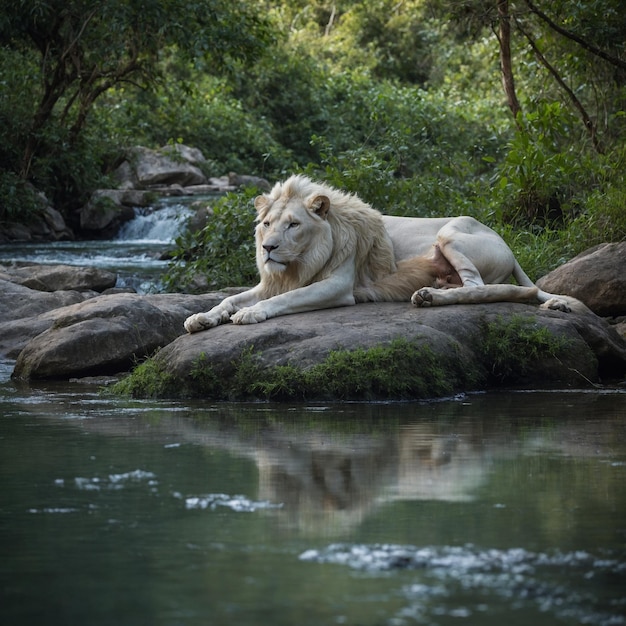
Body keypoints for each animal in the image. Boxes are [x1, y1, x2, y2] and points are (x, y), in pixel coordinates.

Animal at [183, 174, 576, 332]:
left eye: (293, 225)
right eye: (266, 224)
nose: (268, 249)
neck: (299, 263)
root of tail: (504, 241)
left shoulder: (338, 287)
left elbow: (281, 301)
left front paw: (250, 314)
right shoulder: (272, 281)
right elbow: (229, 298)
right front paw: (202, 318)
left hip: (451, 233)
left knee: (478, 288)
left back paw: (428, 296)